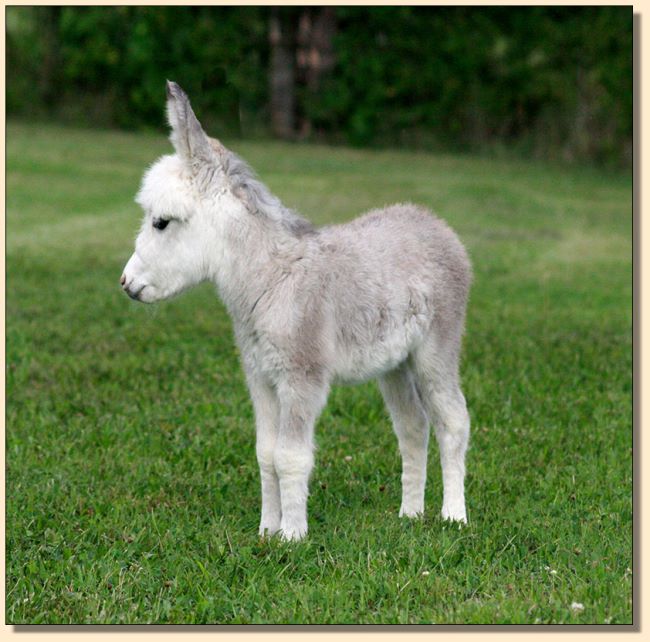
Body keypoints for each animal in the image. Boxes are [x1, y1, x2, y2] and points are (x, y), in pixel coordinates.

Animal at [119, 81, 468, 540]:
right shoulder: (260, 377)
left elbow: (291, 456)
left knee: (453, 422)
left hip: (436, 350)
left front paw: (293, 536)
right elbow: (266, 453)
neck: (269, 279)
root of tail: (435, 224)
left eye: (161, 222)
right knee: (413, 428)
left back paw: (453, 516)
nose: (126, 283)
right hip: (394, 363)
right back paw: (410, 513)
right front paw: (267, 530)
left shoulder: (301, 378)